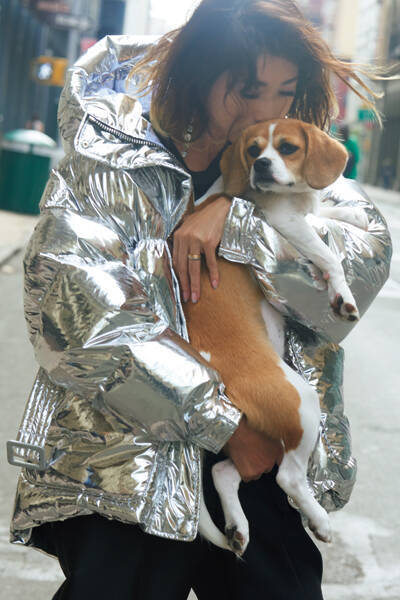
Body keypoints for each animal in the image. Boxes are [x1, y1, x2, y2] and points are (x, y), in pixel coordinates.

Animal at [181, 118, 369, 556]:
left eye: (287, 147)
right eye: (252, 150)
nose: (262, 165)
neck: (294, 196)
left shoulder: (306, 212)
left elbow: (325, 212)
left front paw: (350, 211)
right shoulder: (285, 224)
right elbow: (329, 254)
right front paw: (343, 295)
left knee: (224, 472)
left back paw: (237, 527)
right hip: (300, 403)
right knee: (288, 479)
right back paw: (319, 521)